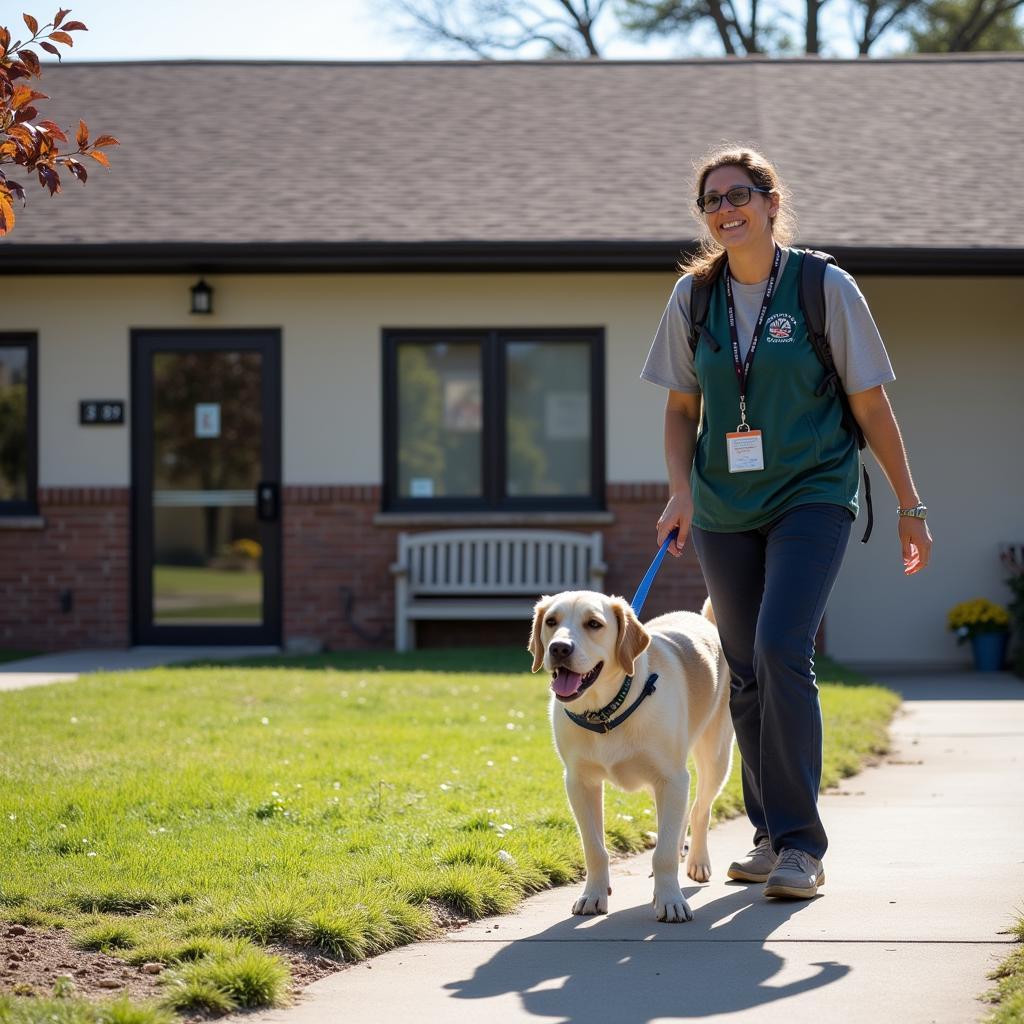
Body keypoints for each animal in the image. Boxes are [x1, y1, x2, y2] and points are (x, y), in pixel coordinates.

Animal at [528, 589, 737, 925]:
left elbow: (663, 854)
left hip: (714, 758)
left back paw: (696, 861)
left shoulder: (671, 778)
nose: (559, 647)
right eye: (551, 621)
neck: (606, 712)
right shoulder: (579, 783)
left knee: (699, 810)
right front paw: (593, 895)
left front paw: (670, 900)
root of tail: (703, 621)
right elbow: (594, 848)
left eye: (594, 624)